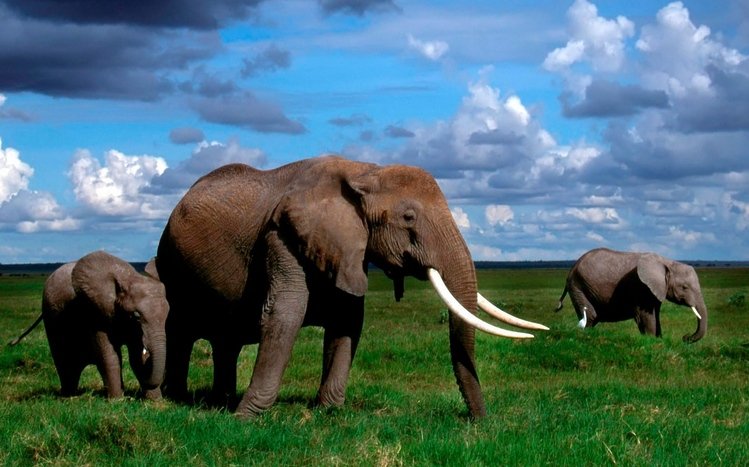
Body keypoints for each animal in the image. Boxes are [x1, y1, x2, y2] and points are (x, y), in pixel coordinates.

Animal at [10, 251, 170, 399]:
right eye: (136, 316)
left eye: (167, 314)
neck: (128, 278)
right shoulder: (95, 312)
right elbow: (109, 356)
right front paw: (117, 400)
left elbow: (136, 357)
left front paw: (155, 401)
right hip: (51, 316)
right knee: (65, 362)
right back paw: (69, 396)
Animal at [154, 155, 548, 419]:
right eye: (408, 217)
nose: (479, 420)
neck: (365, 172)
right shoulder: (283, 236)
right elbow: (284, 314)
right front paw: (247, 417)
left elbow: (347, 321)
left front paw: (329, 412)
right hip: (170, 263)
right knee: (181, 330)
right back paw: (177, 399)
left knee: (226, 340)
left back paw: (218, 400)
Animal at [555, 248, 707, 343]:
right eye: (684, 287)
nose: (685, 337)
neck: (667, 262)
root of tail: (572, 268)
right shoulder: (641, 287)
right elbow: (646, 317)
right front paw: (651, 341)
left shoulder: (655, 289)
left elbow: (656, 315)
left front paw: (659, 340)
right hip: (578, 286)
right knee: (591, 316)